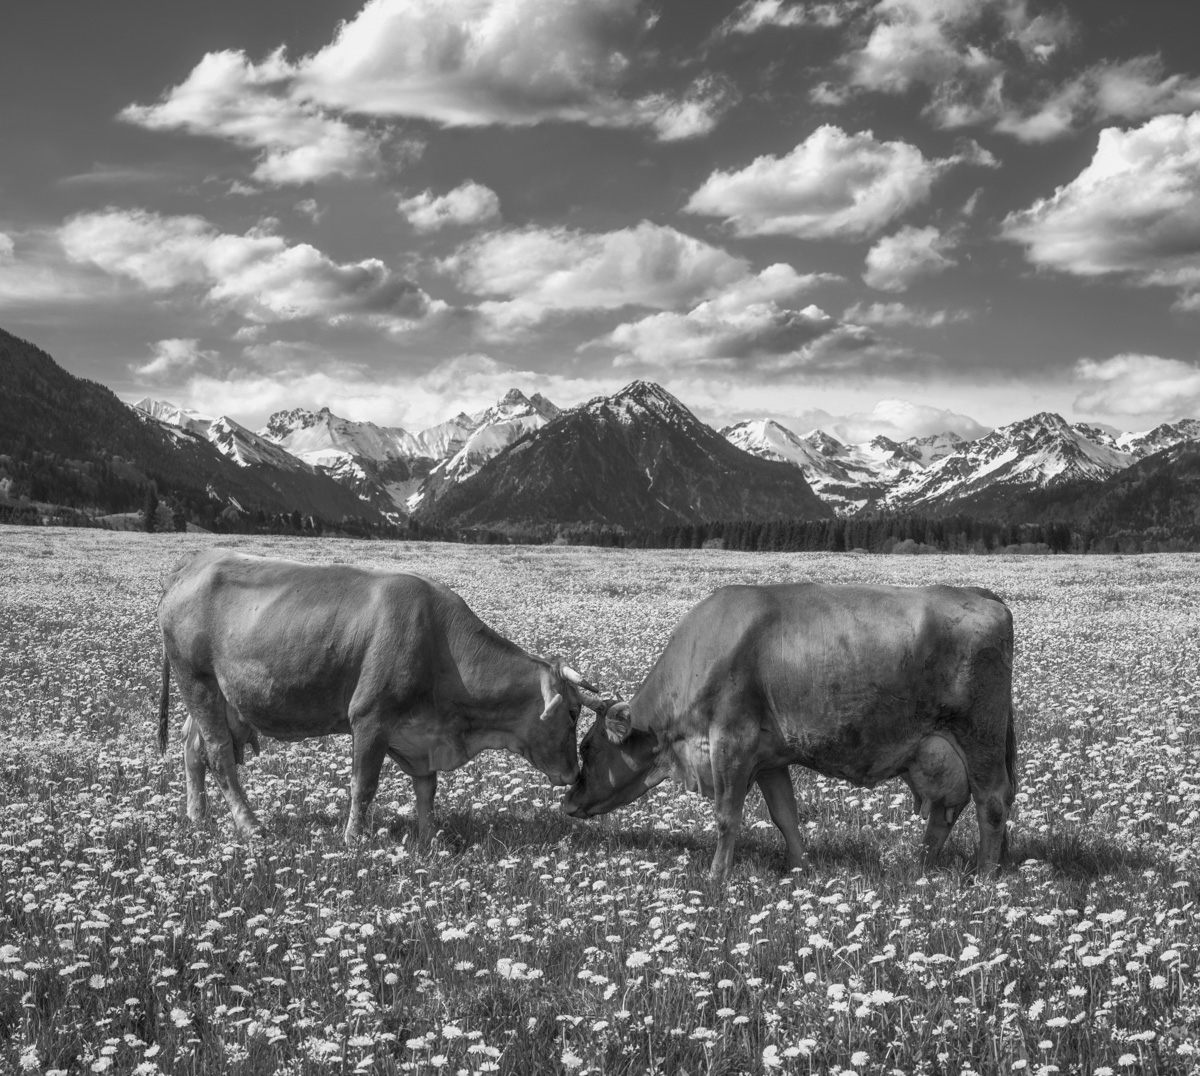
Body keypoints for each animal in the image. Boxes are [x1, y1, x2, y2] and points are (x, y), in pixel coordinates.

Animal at [157, 549, 595, 842]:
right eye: (573, 713)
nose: (575, 774)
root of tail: (195, 562)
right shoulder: (371, 718)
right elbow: (364, 784)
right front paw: (354, 839)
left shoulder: (421, 734)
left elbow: (427, 789)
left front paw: (429, 838)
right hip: (197, 681)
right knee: (218, 754)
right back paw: (250, 826)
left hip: (222, 697)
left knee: (192, 747)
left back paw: (199, 818)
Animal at [562, 583, 1015, 882]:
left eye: (586, 747)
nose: (567, 802)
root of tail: (981, 594)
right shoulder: (768, 758)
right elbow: (785, 816)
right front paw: (800, 869)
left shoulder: (731, 742)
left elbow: (727, 816)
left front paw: (716, 878)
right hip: (939, 751)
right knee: (946, 810)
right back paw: (920, 869)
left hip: (980, 739)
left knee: (991, 802)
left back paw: (985, 877)